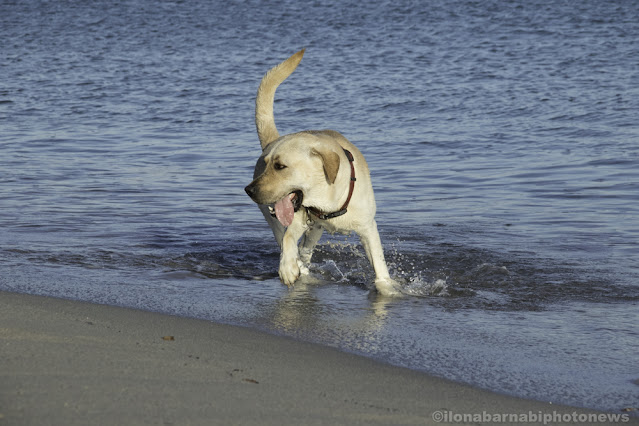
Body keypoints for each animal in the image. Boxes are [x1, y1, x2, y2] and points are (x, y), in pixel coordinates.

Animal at [245, 50, 400, 296]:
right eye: (265, 163)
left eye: (280, 166)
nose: (248, 190)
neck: (328, 202)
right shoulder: (298, 219)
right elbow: (288, 240)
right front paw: (288, 269)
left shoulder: (368, 227)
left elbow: (379, 265)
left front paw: (387, 288)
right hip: (280, 220)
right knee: (287, 241)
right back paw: (298, 268)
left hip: (314, 230)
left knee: (306, 249)